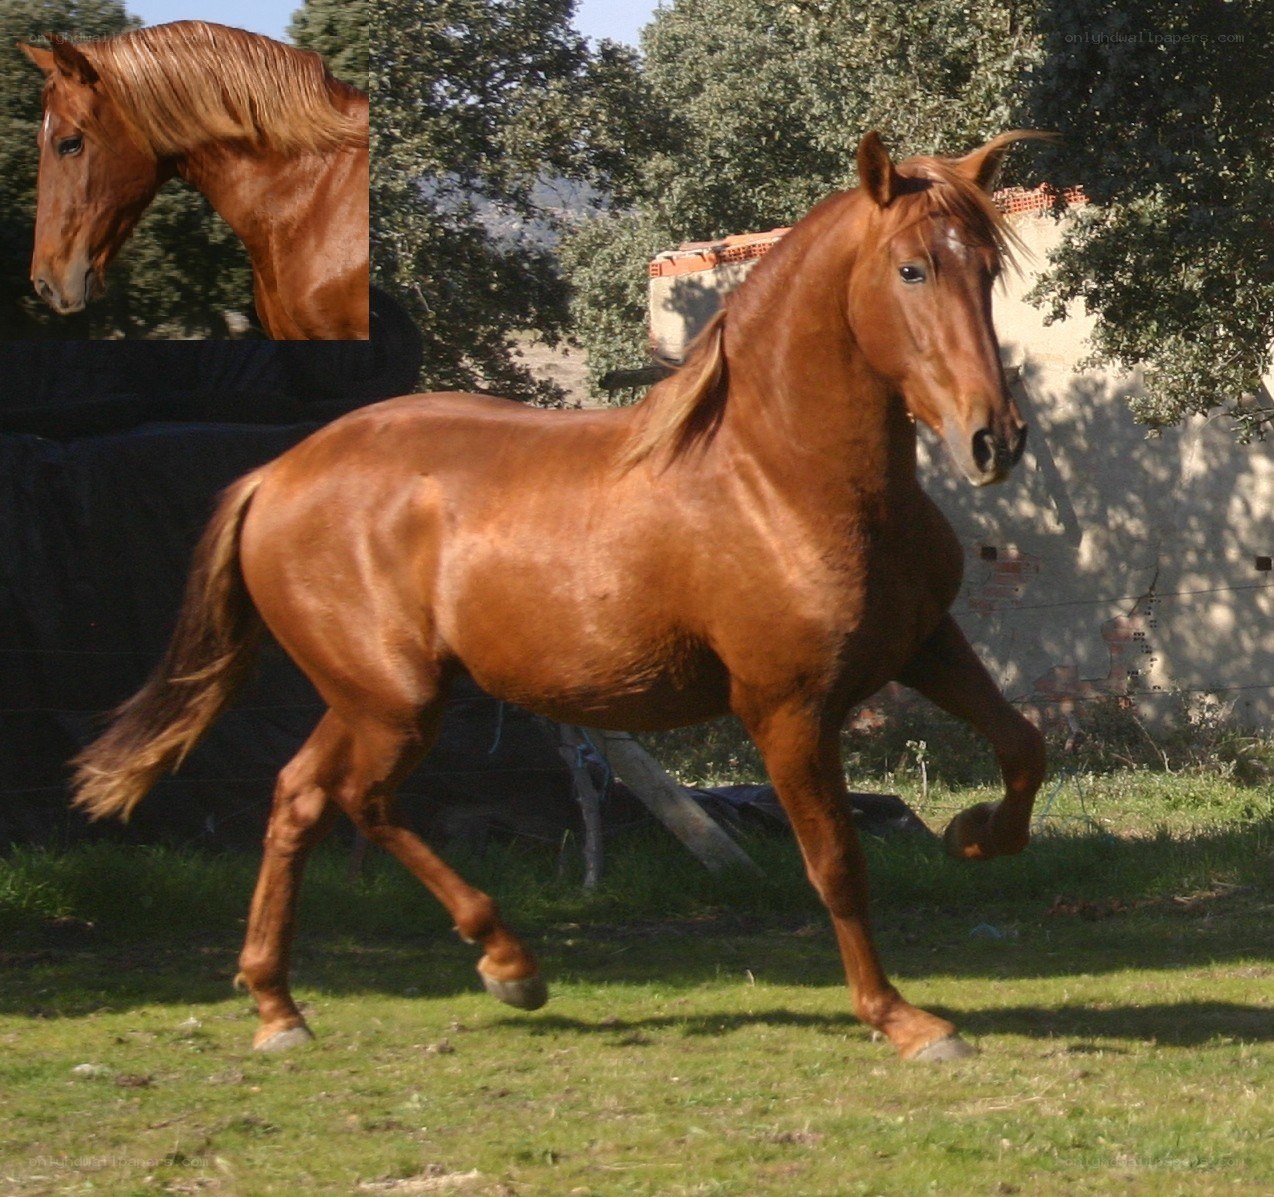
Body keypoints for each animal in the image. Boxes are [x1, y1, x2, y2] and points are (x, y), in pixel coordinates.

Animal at [72, 131, 1048, 1061]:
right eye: (912, 269)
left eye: (988, 269)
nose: (993, 439)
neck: (782, 476)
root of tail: (273, 476)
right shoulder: (789, 710)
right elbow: (837, 862)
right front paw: (904, 1020)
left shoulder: (926, 645)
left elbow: (1022, 749)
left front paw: (971, 835)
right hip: (396, 702)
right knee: (361, 801)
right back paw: (507, 965)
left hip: (365, 699)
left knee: (298, 797)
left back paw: (280, 1006)